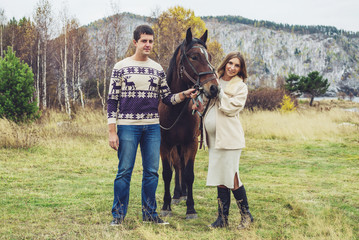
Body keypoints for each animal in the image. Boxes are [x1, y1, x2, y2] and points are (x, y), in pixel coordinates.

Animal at [160, 27, 219, 219]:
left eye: (209, 56)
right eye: (194, 56)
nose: (214, 88)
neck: (175, 109)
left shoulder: (191, 143)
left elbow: (189, 174)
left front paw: (191, 208)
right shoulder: (165, 144)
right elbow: (167, 173)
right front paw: (166, 205)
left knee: (181, 166)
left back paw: (183, 194)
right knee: (177, 165)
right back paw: (177, 194)